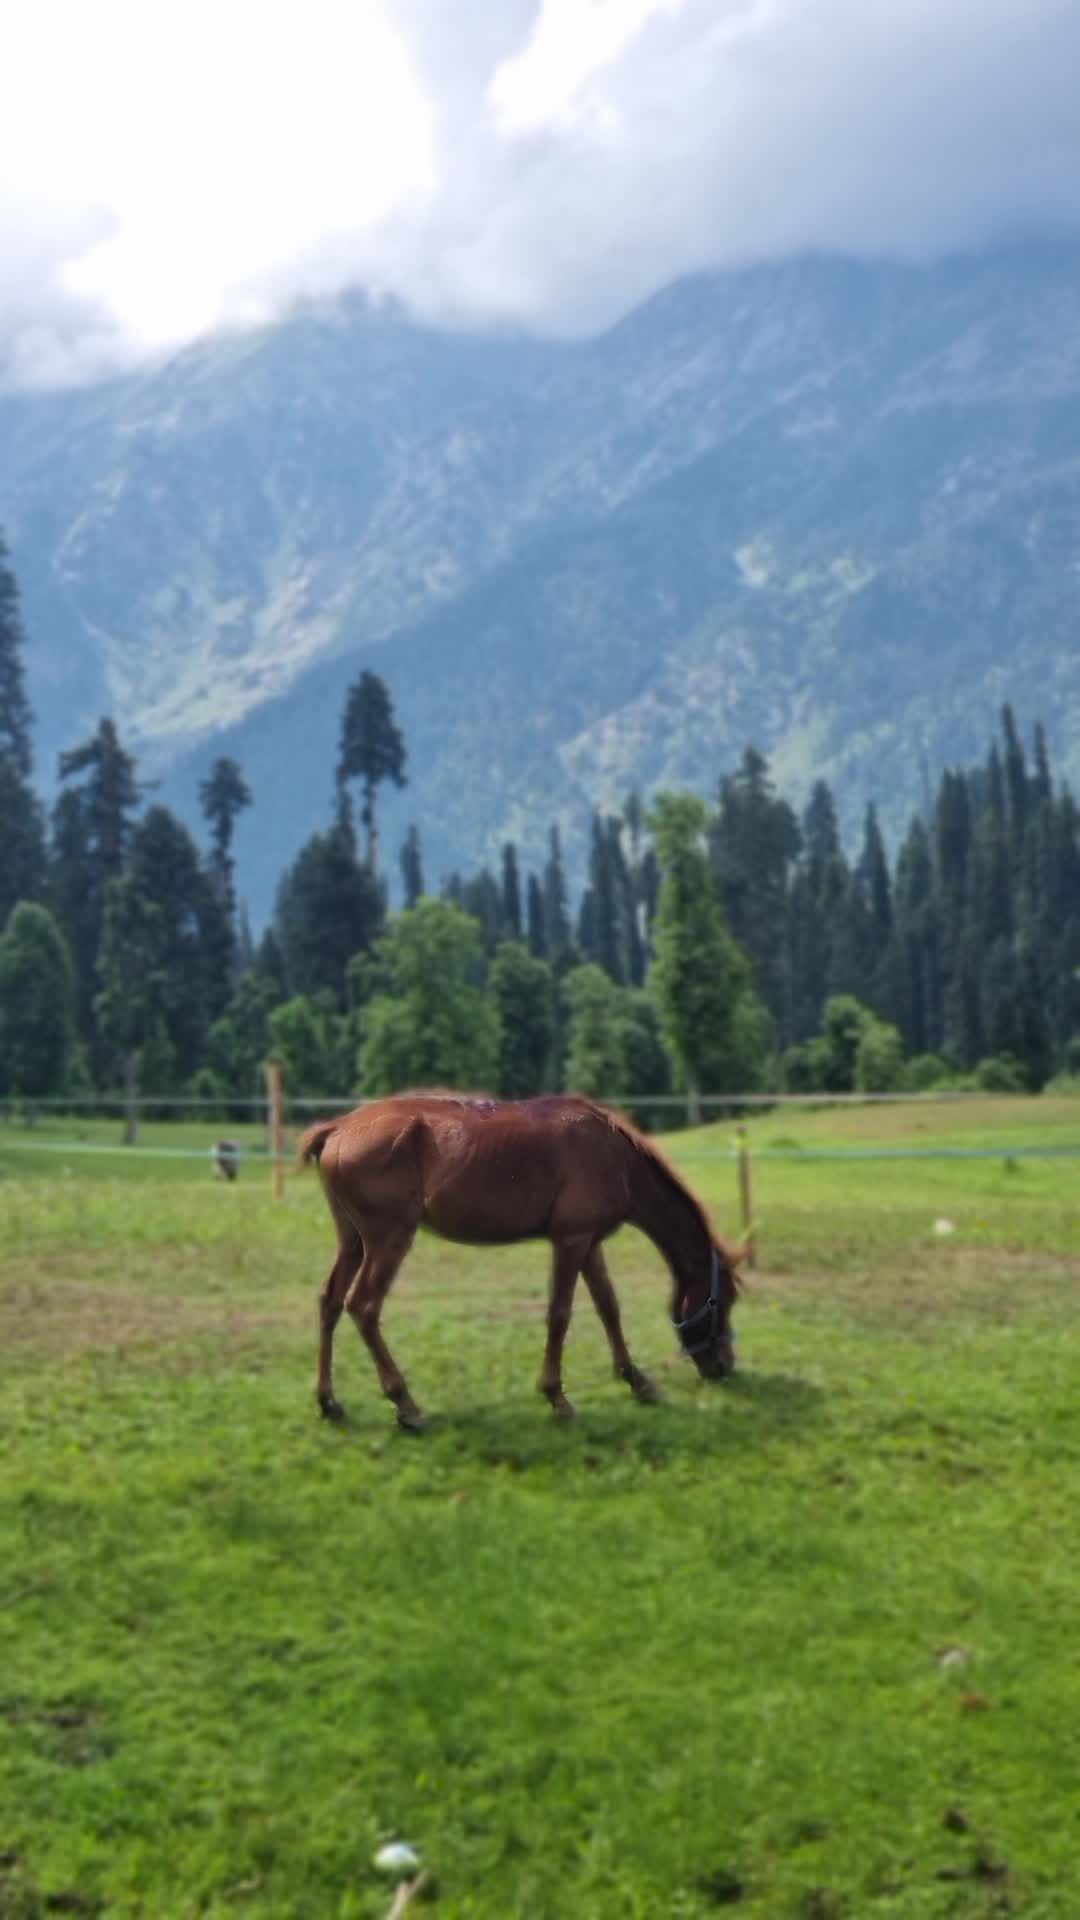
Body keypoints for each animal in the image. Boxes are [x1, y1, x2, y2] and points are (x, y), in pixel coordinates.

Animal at [296, 1090, 745, 1431]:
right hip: (389, 1239)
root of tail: (337, 1129)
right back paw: (405, 1404)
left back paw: (328, 1401)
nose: (724, 1368)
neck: (615, 1155)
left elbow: (608, 1307)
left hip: (354, 1242)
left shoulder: (589, 1243)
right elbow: (560, 1314)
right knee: (364, 1307)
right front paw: (556, 1397)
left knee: (330, 1302)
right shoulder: (571, 1241)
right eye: (722, 1301)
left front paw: (636, 1380)